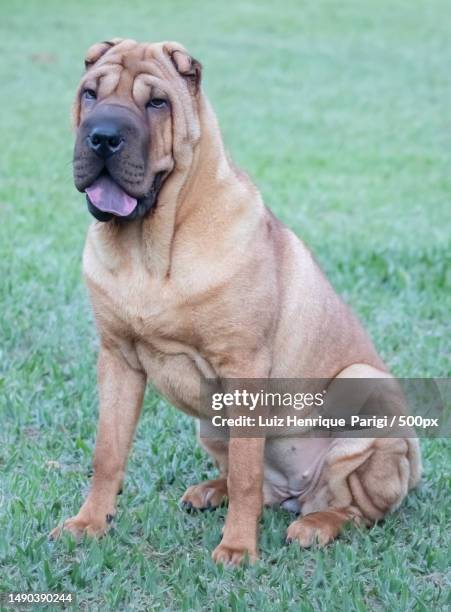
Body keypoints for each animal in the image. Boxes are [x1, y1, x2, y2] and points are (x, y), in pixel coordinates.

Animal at [50, 39, 424, 564]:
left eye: (157, 103)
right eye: (89, 93)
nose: (103, 137)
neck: (150, 250)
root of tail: (296, 494)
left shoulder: (243, 367)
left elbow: (248, 473)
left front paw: (238, 550)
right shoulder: (117, 359)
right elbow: (107, 453)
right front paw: (89, 524)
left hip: (363, 387)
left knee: (356, 509)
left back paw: (315, 525)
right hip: (210, 424)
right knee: (261, 488)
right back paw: (211, 491)